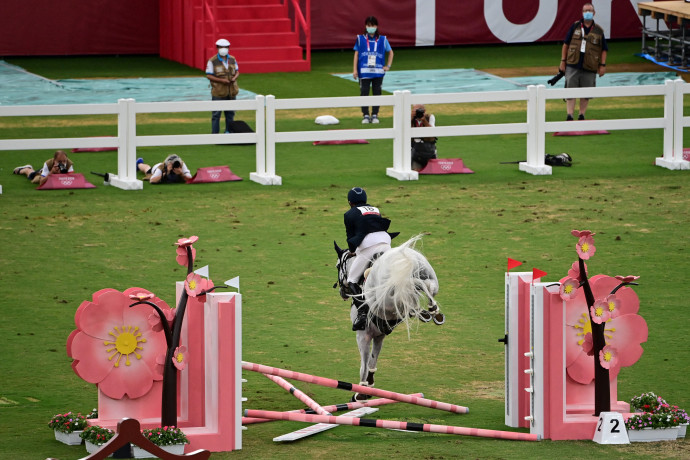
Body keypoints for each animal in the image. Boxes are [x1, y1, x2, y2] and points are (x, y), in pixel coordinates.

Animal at [332, 237, 440, 398]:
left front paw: (360, 393)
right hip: (429, 277)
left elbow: (364, 365)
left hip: (389, 294)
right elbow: (373, 360)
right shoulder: (379, 335)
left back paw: (426, 310)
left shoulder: (363, 335)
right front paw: (369, 385)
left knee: (415, 286)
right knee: (423, 287)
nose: (342, 293)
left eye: (338, 265)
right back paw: (431, 312)